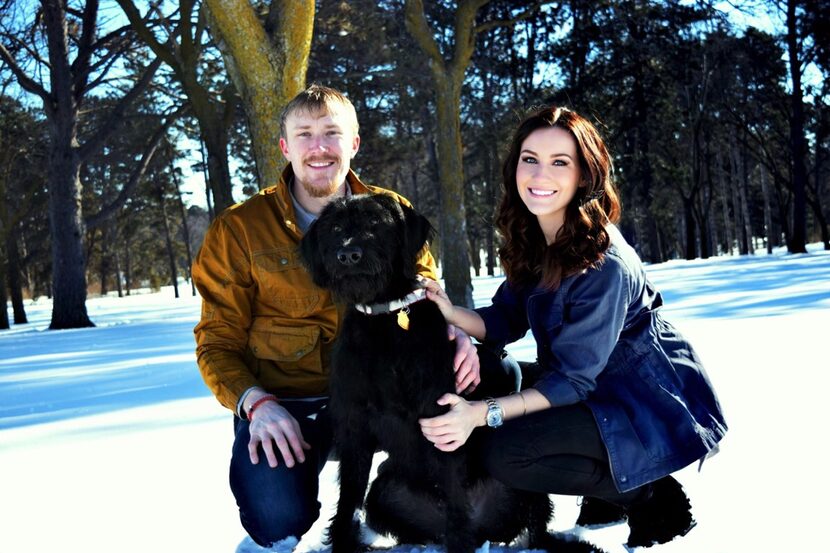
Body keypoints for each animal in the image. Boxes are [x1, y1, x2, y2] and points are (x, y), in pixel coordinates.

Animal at [300, 194, 604, 552]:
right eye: (335, 228)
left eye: (375, 222)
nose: (348, 254)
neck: (386, 321)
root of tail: (485, 530)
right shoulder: (354, 427)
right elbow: (348, 498)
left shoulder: (442, 420)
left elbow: (455, 494)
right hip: (384, 491)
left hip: (527, 490)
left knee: (534, 531)